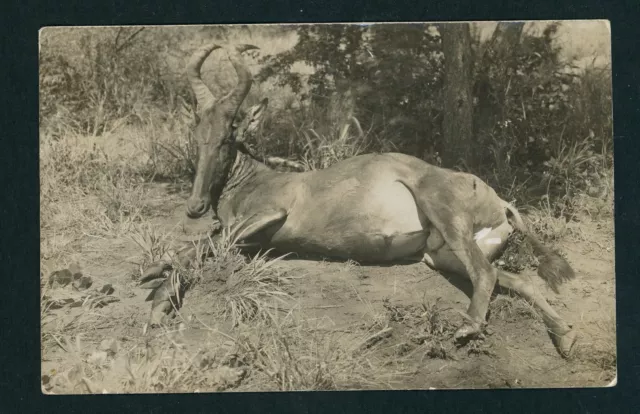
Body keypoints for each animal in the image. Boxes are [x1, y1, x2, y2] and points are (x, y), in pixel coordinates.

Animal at [141, 43, 580, 358]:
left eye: (229, 135)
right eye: (196, 132)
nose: (194, 206)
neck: (257, 175)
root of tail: (499, 200)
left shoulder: (271, 213)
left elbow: (204, 246)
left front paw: (158, 300)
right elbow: (197, 244)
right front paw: (154, 274)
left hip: (444, 215)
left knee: (486, 275)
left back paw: (469, 327)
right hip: (442, 256)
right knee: (518, 280)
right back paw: (564, 337)